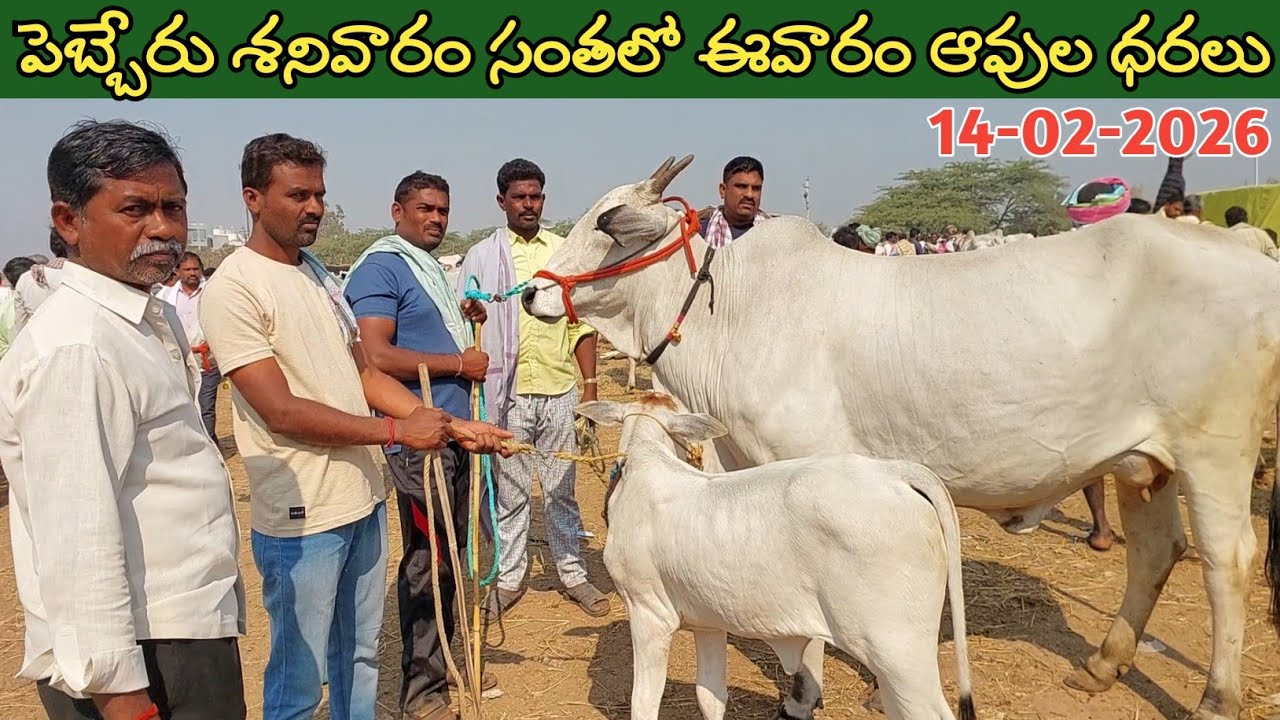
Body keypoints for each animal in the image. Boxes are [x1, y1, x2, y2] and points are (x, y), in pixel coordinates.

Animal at [576, 392, 975, 720]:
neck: (645, 467)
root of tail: (894, 472)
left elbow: (643, 703)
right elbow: (711, 697)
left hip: (898, 653)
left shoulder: (648, 615)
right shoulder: (708, 624)